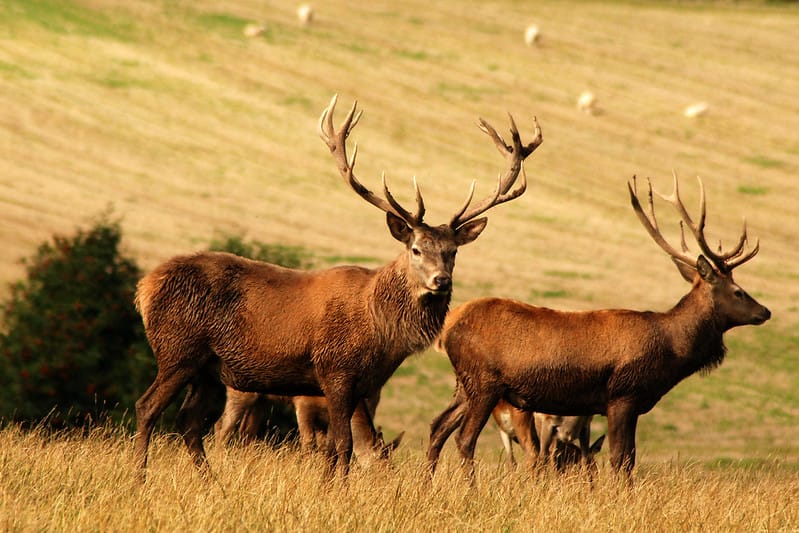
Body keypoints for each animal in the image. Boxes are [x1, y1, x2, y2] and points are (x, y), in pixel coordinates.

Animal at [215, 387, 404, 466]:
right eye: (383, 466)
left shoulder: (324, 421)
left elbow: (323, 447)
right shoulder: (303, 404)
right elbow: (308, 443)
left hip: (260, 400)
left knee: (245, 431)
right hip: (241, 393)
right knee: (223, 427)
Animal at [427, 174, 771, 482]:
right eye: (738, 291)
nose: (765, 311)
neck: (670, 350)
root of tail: (448, 328)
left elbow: (627, 459)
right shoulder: (623, 395)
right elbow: (621, 460)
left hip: (464, 383)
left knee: (437, 426)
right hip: (484, 382)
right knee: (464, 438)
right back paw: (469, 490)